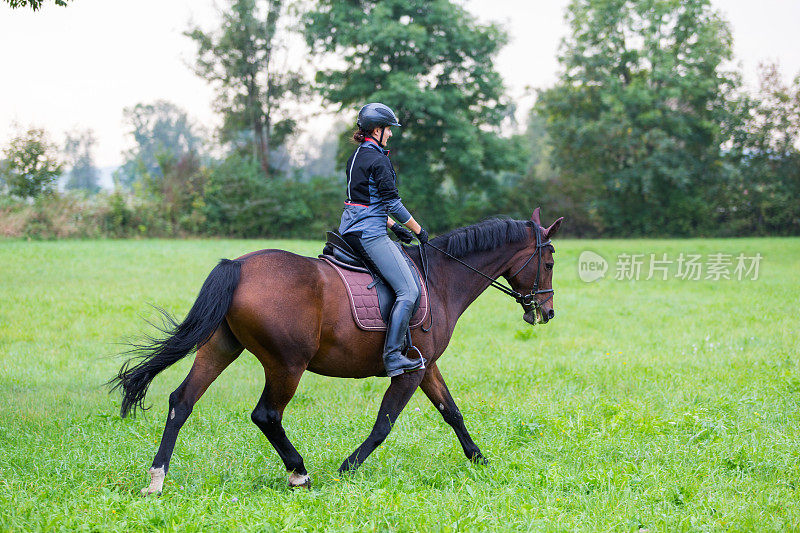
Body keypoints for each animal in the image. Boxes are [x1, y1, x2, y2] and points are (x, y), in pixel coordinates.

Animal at [111, 209, 564, 494]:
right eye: (549, 263)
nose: (547, 312)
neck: (441, 279)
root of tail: (238, 266)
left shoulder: (427, 366)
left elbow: (452, 412)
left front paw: (479, 460)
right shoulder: (410, 371)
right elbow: (383, 425)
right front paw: (347, 468)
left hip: (221, 348)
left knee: (181, 401)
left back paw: (156, 478)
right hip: (286, 364)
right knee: (266, 415)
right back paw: (299, 474)